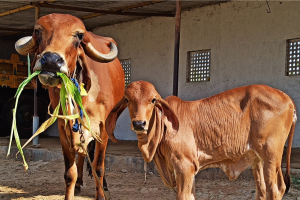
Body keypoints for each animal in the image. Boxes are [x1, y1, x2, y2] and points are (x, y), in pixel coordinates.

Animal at [13, 14, 124, 200]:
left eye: (78, 35)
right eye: (38, 31)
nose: (51, 61)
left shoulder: (103, 129)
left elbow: (99, 167)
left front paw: (101, 193)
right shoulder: (63, 127)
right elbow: (70, 173)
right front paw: (73, 186)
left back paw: (104, 185)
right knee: (82, 155)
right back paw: (79, 183)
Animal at [105, 81, 296, 200]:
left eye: (153, 100)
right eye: (127, 100)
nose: (139, 123)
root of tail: (287, 98)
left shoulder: (184, 166)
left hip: (271, 154)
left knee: (276, 189)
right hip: (257, 159)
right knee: (262, 191)